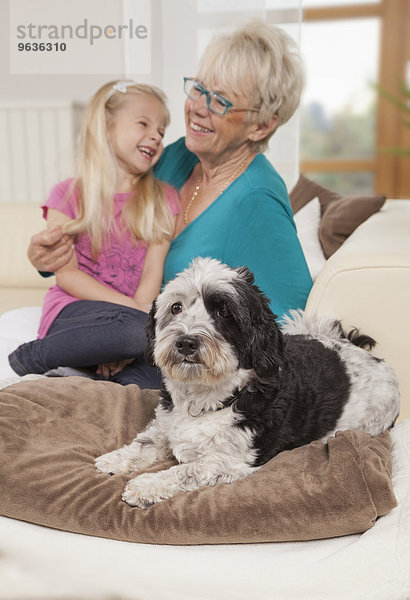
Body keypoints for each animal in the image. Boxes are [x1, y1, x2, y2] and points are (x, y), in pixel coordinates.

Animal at [94, 255, 398, 508]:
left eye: (224, 312)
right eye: (176, 307)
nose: (186, 342)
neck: (206, 399)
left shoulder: (230, 461)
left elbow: (185, 470)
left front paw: (146, 485)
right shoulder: (166, 426)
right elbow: (145, 442)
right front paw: (115, 459)